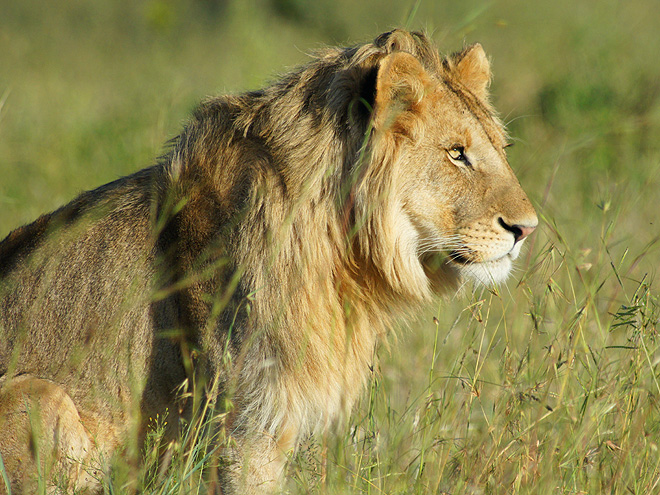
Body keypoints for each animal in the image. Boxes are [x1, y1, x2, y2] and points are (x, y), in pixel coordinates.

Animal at [0, 29, 536, 494]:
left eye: (499, 149)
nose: (527, 228)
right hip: (37, 396)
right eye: (457, 153)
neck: (339, 250)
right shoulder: (245, 421)